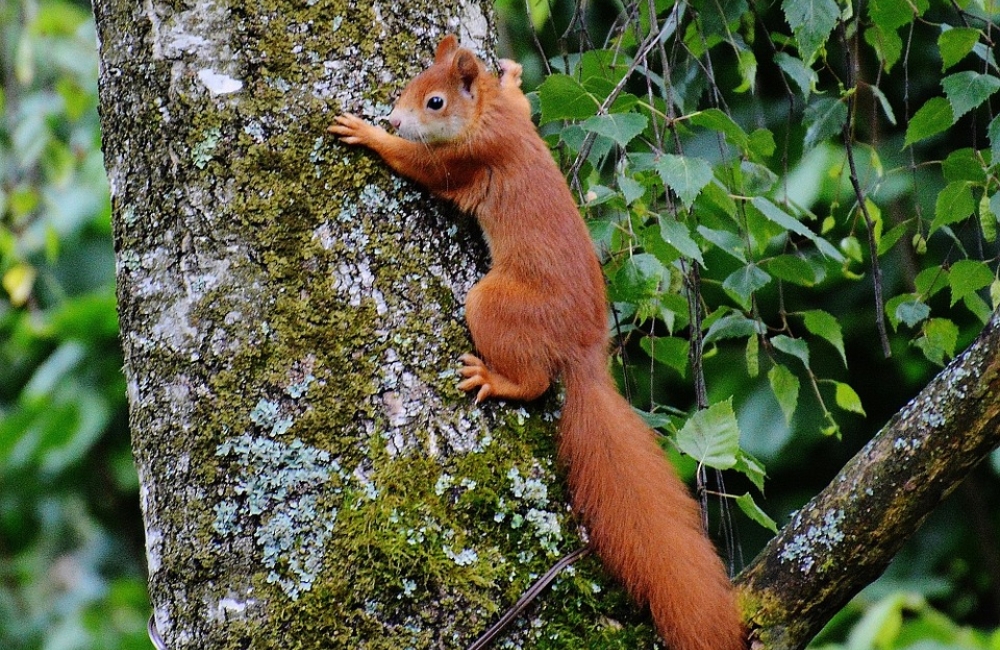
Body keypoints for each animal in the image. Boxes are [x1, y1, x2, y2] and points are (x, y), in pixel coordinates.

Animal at [332, 36, 748, 648]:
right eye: (414, 84)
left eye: (434, 102)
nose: (394, 118)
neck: (487, 115)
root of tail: (586, 356)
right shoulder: (512, 119)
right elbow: (521, 100)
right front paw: (510, 73)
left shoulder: (468, 157)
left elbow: (421, 166)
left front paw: (369, 134)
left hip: (492, 305)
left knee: (533, 382)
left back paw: (494, 379)